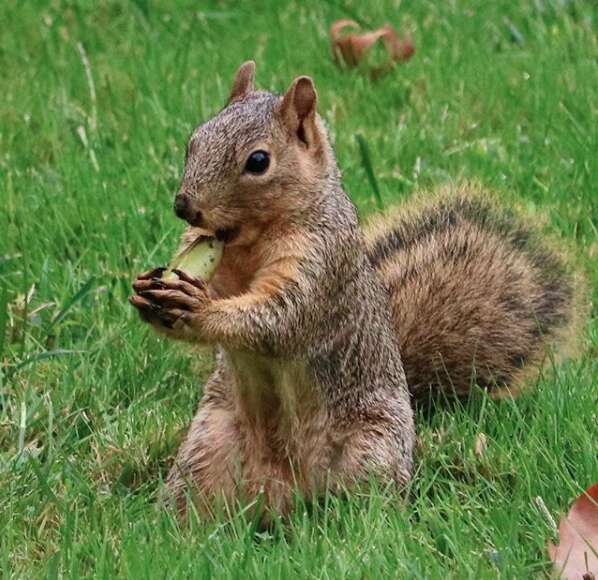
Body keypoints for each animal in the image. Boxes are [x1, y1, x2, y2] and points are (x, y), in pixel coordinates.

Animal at [130, 61, 584, 520]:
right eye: (194, 140)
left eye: (258, 161)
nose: (185, 206)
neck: (251, 242)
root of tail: (282, 496)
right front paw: (148, 290)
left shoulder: (322, 264)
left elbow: (278, 317)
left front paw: (198, 308)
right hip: (207, 448)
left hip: (370, 452)